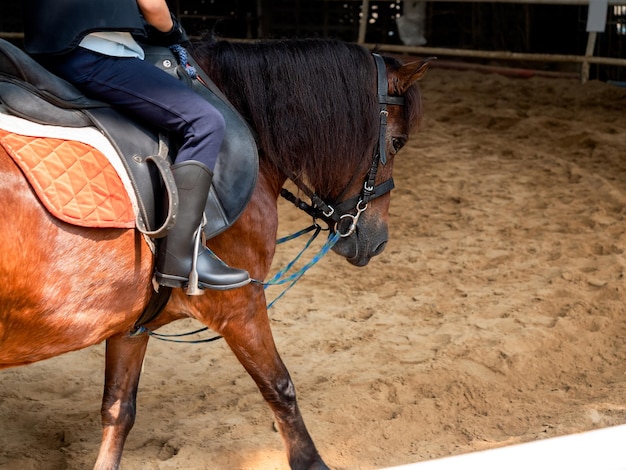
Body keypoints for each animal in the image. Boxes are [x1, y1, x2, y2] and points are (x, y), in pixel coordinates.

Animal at [0, 37, 428, 470]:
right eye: (397, 142)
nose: (377, 241)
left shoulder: (131, 322)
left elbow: (118, 409)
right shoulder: (239, 305)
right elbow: (280, 387)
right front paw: (311, 460)